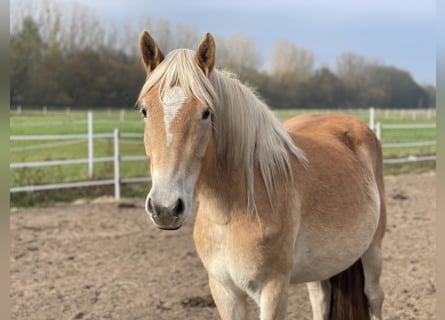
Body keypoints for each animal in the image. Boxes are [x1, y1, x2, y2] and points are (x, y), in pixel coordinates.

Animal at [136, 30, 386, 320]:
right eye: (145, 110)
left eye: (206, 113)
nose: (165, 208)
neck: (231, 213)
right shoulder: (224, 291)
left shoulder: (273, 289)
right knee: (320, 299)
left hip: (373, 249)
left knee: (374, 297)